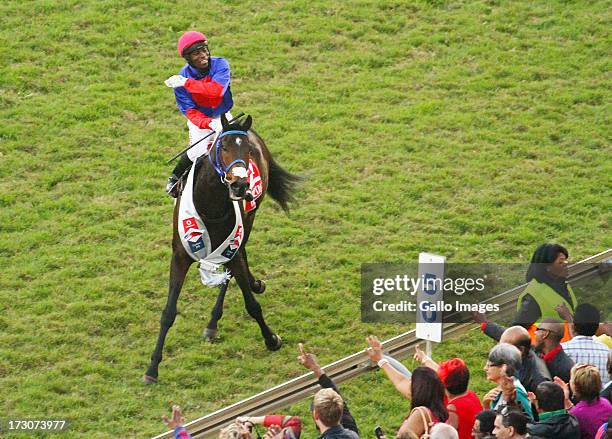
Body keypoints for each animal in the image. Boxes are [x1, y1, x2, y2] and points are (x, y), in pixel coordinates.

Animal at [143, 115, 296, 384]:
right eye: (222, 147)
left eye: (247, 150)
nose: (240, 184)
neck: (211, 207)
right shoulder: (179, 256)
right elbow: (168, 312)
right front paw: (152, 369)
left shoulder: (231, 244)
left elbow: (252, 304)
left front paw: (270, 338)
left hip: (250, 217)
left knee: (239, 257)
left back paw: (215, 320)